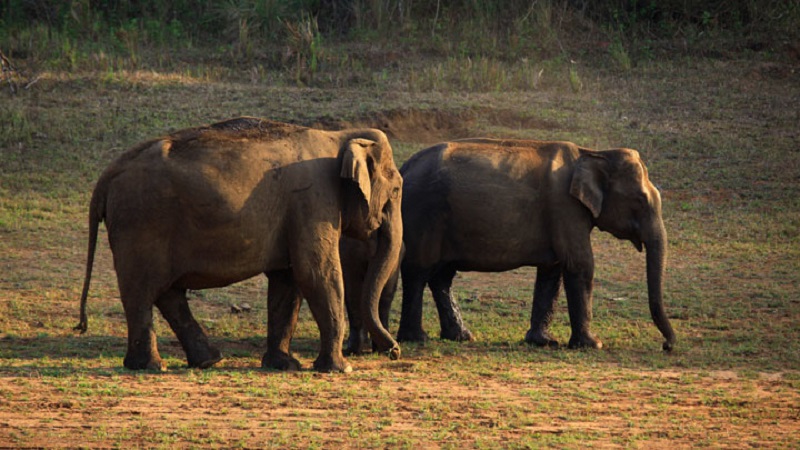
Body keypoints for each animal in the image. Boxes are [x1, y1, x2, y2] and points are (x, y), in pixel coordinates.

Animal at [76, 116, 404, 372]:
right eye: (398, 188)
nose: (394, 351)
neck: (339, 136)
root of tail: (107, 176)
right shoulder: (314, 201)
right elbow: (316, 273)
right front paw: (340, 369)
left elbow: (287, 281)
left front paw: (284, 365)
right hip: (140, 223)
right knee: (142, 292)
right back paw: (153, 366)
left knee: (166, 292)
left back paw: (207, 361)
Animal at [398, 138, 676, 352]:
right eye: (640, 200)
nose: (667, 346)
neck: (592, 153)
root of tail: (404, 167)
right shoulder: (565, 208)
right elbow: (580, 264)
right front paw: (592, 345)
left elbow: (552, 271)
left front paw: (544, 342)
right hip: (424, 214)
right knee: (418, 271)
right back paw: (417, 338)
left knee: (442, 276)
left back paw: (461, 337)